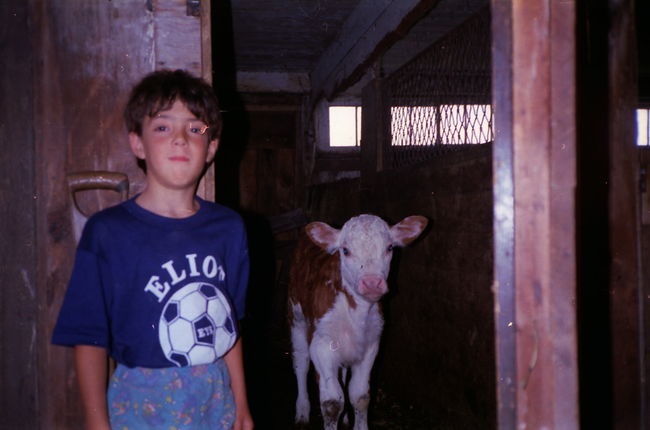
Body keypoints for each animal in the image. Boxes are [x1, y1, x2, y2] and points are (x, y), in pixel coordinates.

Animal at [288, 213, 426, 428]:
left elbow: (360, 396)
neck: (356, 314)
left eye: (389, 247)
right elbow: (331, 402)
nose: (372, 283)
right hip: (296, 317)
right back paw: (302, 411)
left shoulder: (371, 345)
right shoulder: (321, 344)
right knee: (300, 361)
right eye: (345, 250)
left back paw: (345, 417)